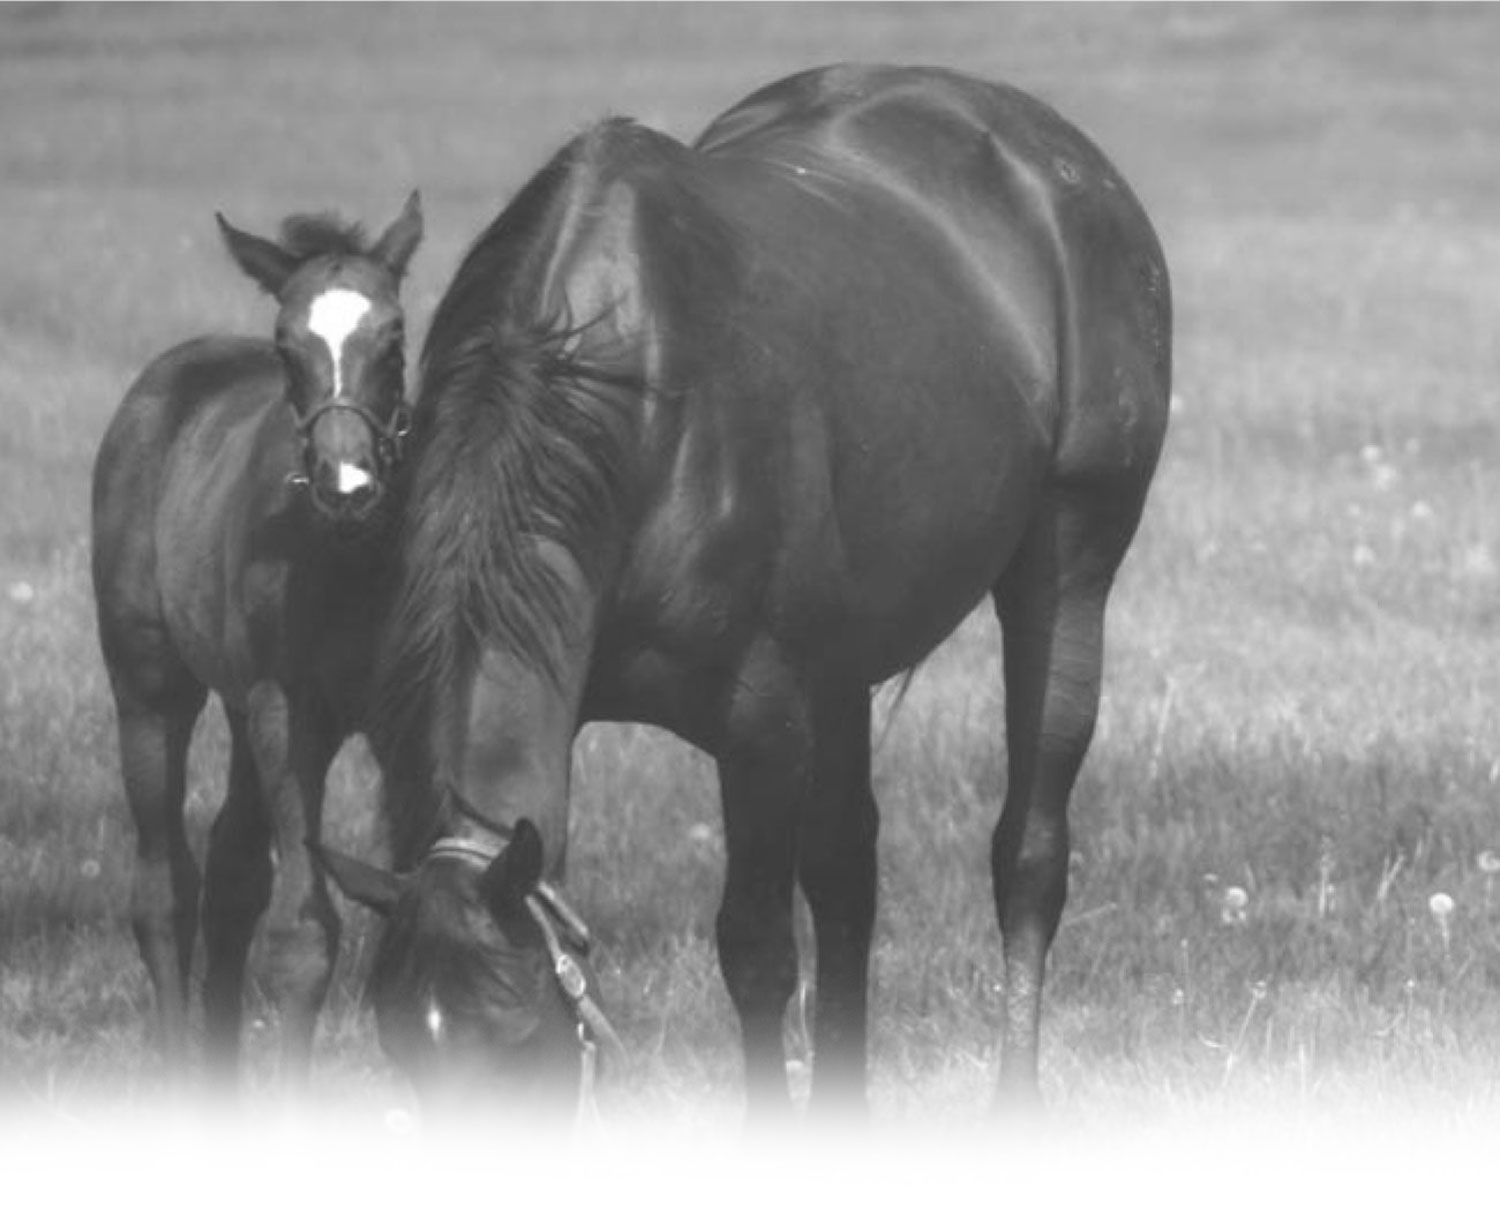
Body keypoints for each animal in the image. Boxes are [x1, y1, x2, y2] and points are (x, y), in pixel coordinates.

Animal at [90, 193, 423, 1086]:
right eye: (286, 345)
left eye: (395, 336)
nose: (349, 485)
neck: (345, 556)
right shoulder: (291, 710)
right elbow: (303, 938)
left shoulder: (407, 718)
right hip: (152, 689)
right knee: (164, 886)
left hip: (242, 711)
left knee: (232, 871)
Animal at [322, 66, 1170, 1122]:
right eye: (402, 1047)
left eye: (518, 1045)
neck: (630, 398)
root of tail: (1057, 156)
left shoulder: (761, 725)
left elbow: (756, 953)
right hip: (844, 670)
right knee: (849, 874)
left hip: (1066, 572)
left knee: (1028, 853)